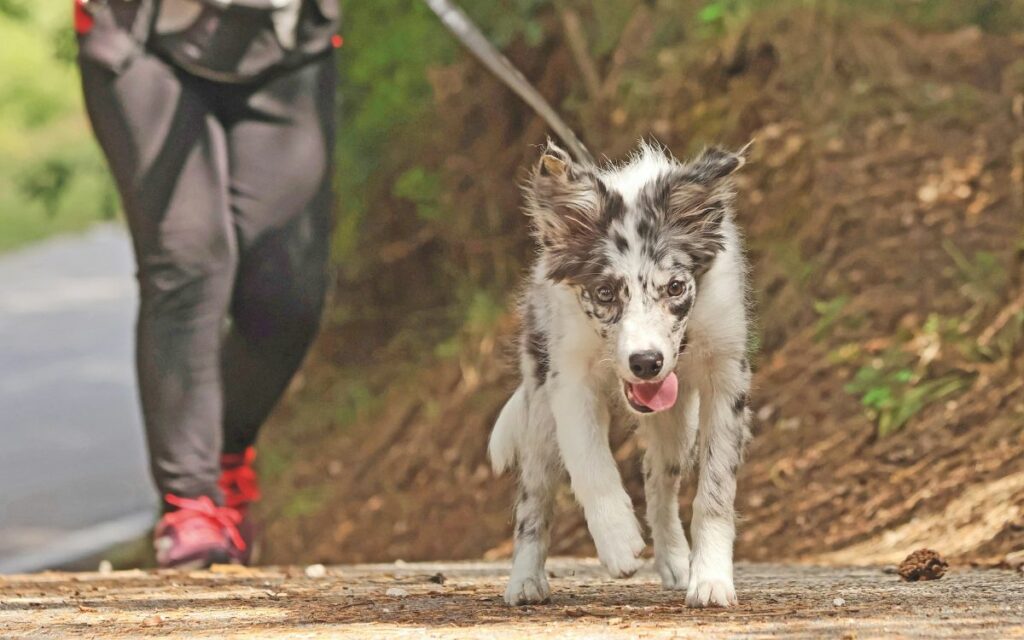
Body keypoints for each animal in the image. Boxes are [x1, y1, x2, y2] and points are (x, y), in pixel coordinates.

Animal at [487, 139, 753, 610]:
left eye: (675, 288)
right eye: (605, 293)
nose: (646, 363)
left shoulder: (726, 376)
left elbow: (715, 492)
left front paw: (711, 580)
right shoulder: (568, 379)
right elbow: (590, 462)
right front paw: (617, 541)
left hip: (677, 423)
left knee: (658, 481)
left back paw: (675, 562)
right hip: (539, 413)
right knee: (534, 497)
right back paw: (525, 580)